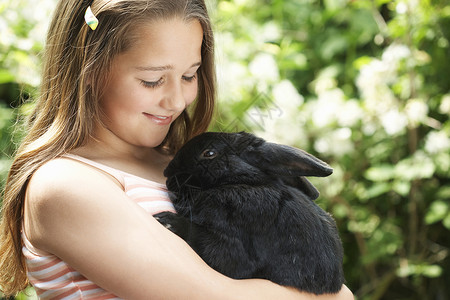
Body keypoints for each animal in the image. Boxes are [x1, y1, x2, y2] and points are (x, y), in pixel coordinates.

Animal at [155, 131, 344, 292]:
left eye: (209, 153)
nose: (168, 174)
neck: (242, 183)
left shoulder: (235, 249)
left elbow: (202, 238)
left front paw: (166, 220)